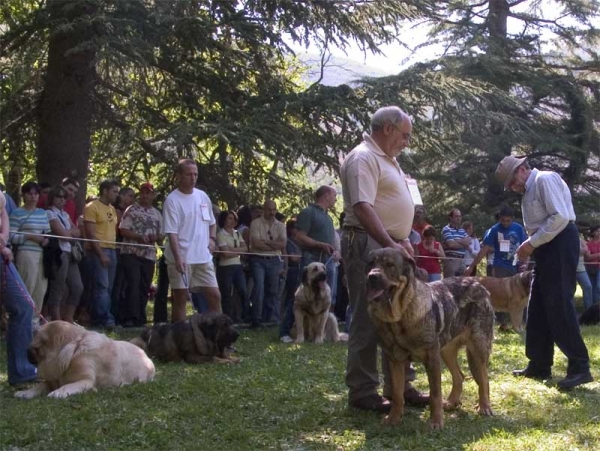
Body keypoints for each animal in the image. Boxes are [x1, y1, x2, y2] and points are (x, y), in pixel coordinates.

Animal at [14, 322, 155, 400]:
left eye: (33, 349)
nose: (27, 352)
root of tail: (145, 354)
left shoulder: (85, 381)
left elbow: (67, 386)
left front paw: (58, 393)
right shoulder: (51, 382)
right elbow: (39, 386)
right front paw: (26, 392)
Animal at [364, 249, 494, 430]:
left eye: (389, 265)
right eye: (370, 263)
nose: (372, 276)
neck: (399, 316)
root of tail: (479, 284)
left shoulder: (431, 358)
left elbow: (435, 393)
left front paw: (436, 422)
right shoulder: (394, 359)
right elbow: (397, 394)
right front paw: (393, 419)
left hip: (478, 346)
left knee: (484, 378)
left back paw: (484, 407)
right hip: (446, 350)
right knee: (459, 376)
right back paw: (451, 403)